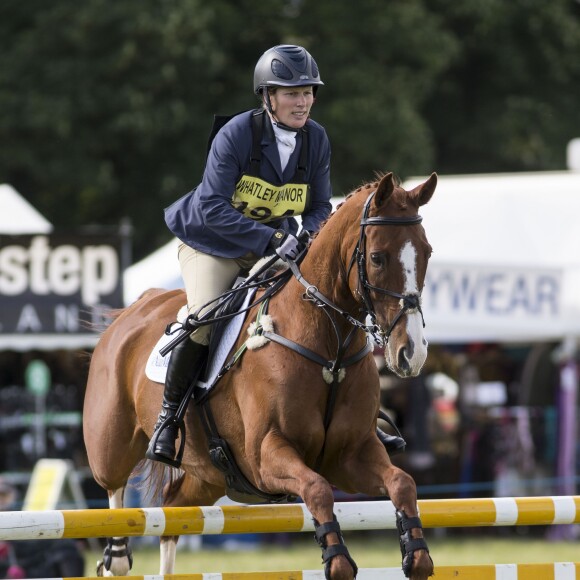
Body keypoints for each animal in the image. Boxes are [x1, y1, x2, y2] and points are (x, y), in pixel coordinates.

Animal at [81, 172, 436, 580]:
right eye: (377, 257)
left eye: (426, 253)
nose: (411, 353)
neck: (329, 352)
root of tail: (134, 310)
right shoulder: (267, 454)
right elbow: (317, 489)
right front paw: (337, 559)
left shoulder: (350, 455)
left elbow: (402, 483)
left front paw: (417, 554)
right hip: (112, 446)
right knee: (115, 496)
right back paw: (118, 554)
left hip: (208, 474)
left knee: (172, 511)